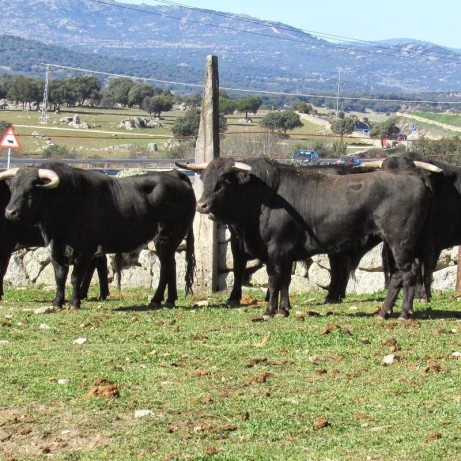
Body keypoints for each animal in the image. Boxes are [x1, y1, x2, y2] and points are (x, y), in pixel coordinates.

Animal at [0, 162, 195, 310]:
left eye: (31, 190)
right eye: (13, 187)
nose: (10, 212)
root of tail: (175, 174)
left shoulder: (85, 250)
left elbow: (75, 277)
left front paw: (74, 302)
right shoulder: (55, 248)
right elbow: (60, 276)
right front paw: (57, 302)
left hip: (167, 237)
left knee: (166, 266)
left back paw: (157, 300)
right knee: (170, 265)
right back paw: (168, 300)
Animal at [178, 156, 436, 318]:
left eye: (224, 181)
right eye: (205, 179)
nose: (202, 205)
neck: (264, 196)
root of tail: (415, 178)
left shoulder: (276, 250)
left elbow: (274, 280)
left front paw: (269, 311)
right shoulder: (286, 253)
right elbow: (285, 281)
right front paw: (283, 310)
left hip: (400, 242)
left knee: (407, 273)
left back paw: (401, 313)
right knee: (401, 275)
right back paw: (389, 312)